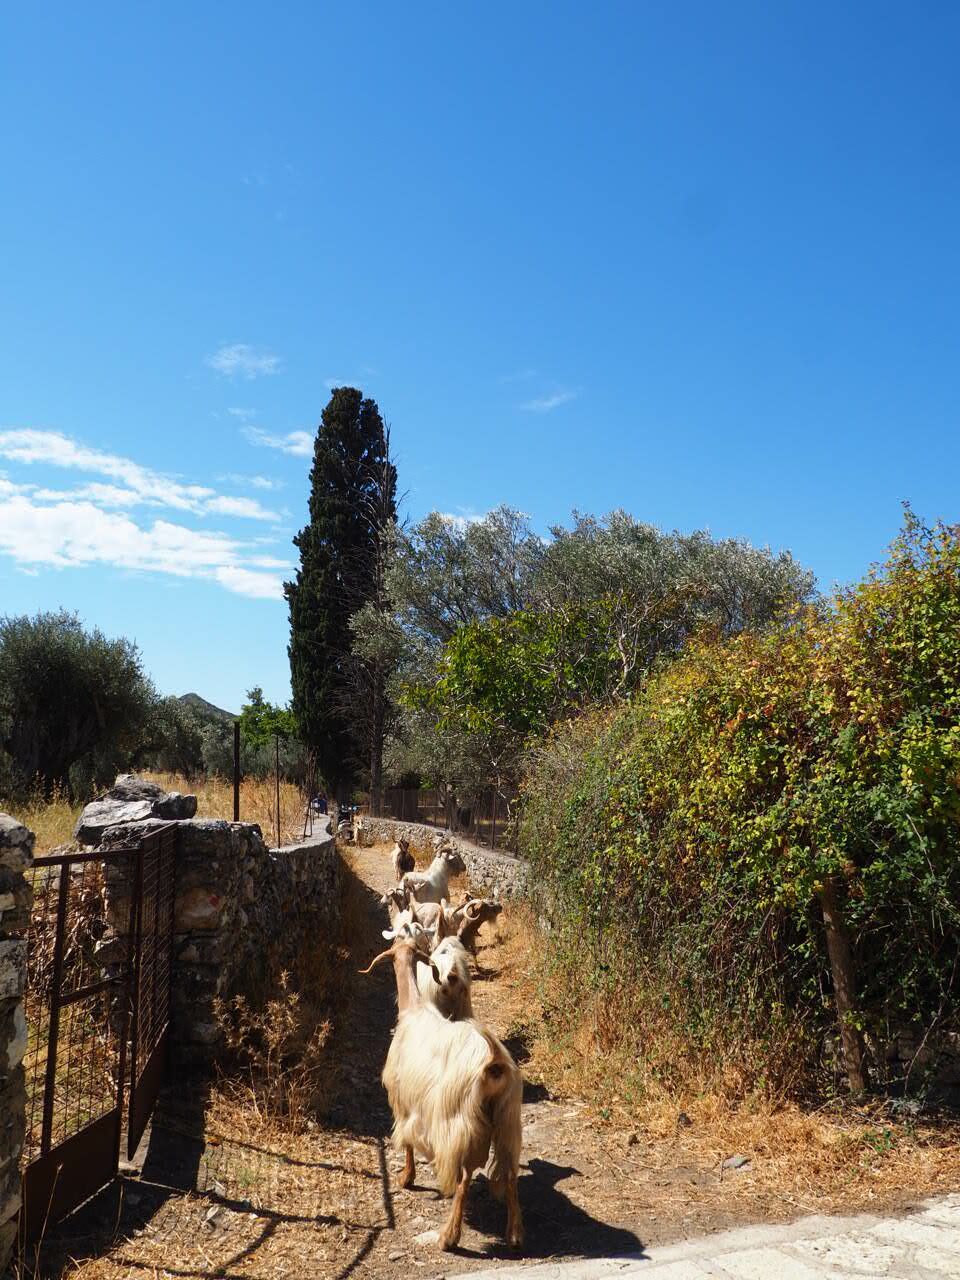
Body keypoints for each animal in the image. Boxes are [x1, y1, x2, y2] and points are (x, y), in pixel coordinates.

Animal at [363, 931, 527, 1249]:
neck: (413, 1010)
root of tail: (494, 1062)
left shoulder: (404, 1102)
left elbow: (408, 1144)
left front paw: (406, 1178)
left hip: (459, 1122)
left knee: (464, 1178)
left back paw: (449, 1235)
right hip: (508, 1120)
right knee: (511, 1173)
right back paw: (514, 1234)